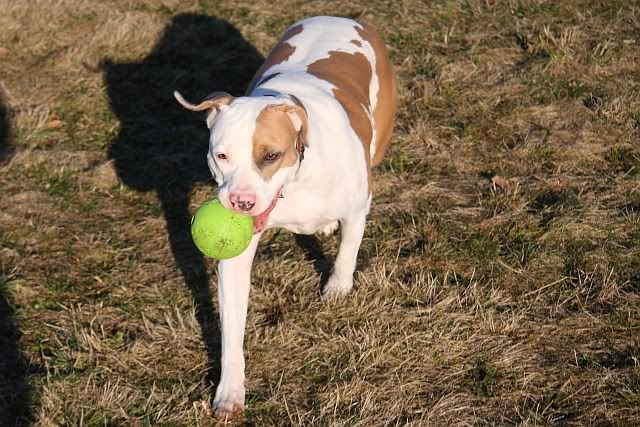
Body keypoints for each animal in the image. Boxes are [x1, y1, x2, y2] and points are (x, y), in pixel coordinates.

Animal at [174, 16, 397, 420]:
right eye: (221, 155)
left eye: (271, 156)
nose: (241, 202)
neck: (295, 182)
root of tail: (339, 18)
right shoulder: (236, 257)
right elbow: (232, 328)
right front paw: (230, 391)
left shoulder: (357, 206)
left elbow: (349, 248)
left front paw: (337, 287)